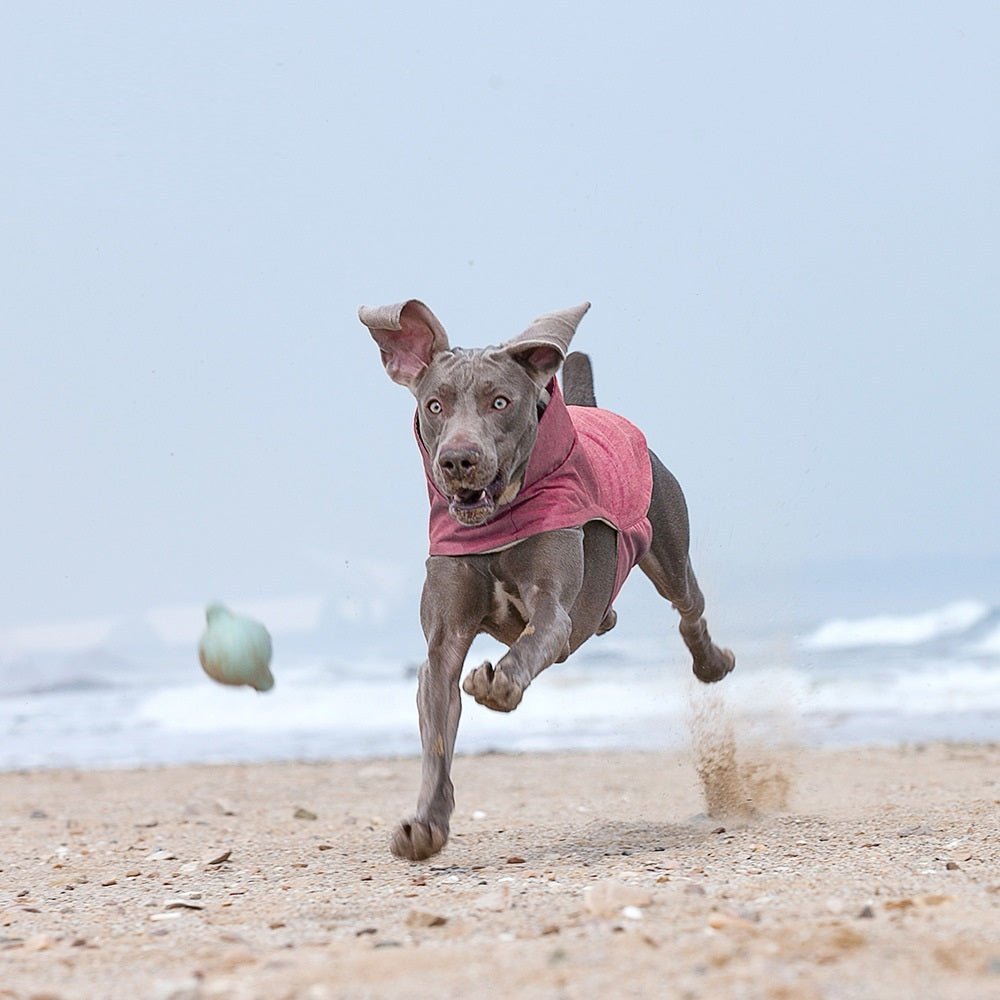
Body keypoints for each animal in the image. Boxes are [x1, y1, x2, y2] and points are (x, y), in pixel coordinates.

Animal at [360, 298, 736, 860]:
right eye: (434, 405)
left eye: (500, 402)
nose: (458, 460)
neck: (495, 523)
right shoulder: (442, 642)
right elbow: (437, 732)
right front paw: (425, 826)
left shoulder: (551, 607)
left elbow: (537, 635)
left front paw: (497, 684)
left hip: (670, 541)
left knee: (689, 607)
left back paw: (712, 663)